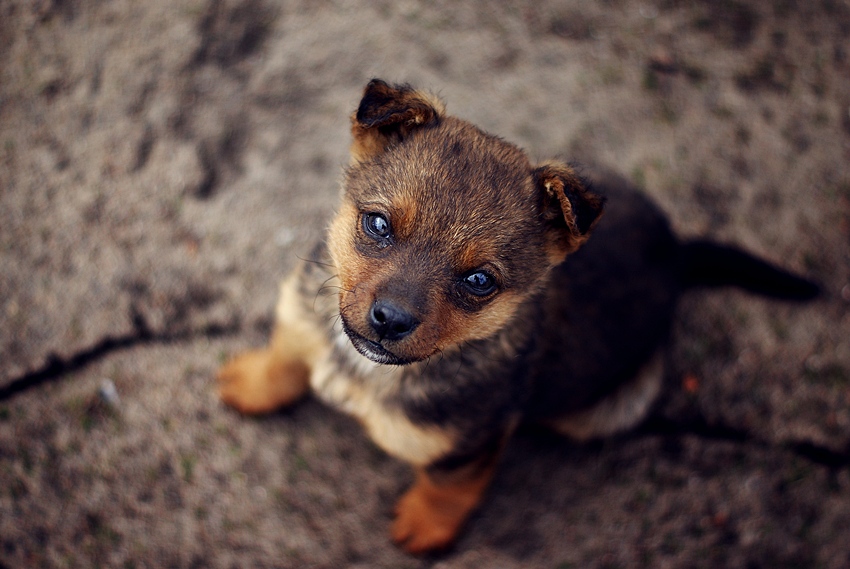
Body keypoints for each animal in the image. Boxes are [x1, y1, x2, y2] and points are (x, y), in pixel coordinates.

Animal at [215, 77, 820, 552]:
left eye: (479, 281)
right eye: (378, 224)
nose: (389, 320)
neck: (363, 369)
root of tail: (678, 255)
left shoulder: (468, 447)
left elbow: (446, 489)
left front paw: (425, 529)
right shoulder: (303, 317)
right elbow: (285, 354)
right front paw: (252, 381)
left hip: (616, 404)